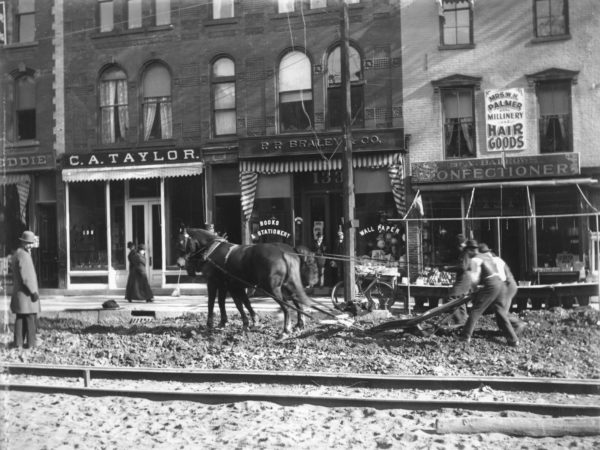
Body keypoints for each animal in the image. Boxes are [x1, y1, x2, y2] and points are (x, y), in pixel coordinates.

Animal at [178, 229, 316, 334]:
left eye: (181, 243)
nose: (179, 264)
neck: (213, 251)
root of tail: (285, 252)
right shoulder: (229, 285)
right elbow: (236, 303)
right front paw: (232, 322)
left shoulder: (214, 282)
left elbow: (213, 302)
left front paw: (210, 324)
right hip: (288, 286)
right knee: (298, 305)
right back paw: (299, 325)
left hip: (272, 288)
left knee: (286, 307)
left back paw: (286, 329)